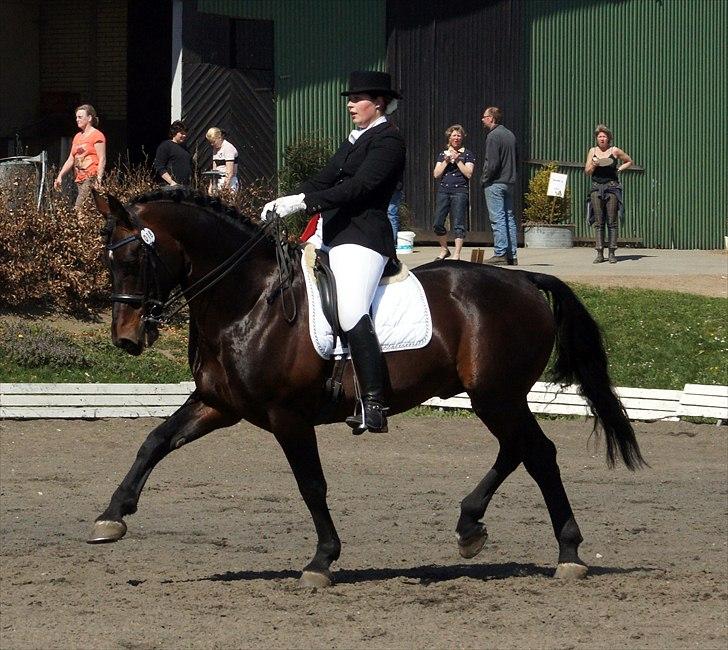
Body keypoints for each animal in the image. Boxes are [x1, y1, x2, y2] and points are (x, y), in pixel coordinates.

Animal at [89, 189, 644, 588]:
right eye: (107, 260)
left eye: (134, 259)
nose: (127, 339)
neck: (247, 301)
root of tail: (525, 279)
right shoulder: (217, 404)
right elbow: (155, 442)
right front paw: (111, 517)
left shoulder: (287, 416)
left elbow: (311, 484)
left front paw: (321, 561)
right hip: (495, 397)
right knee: (518, 450)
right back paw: (470, 528)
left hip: (497, 395)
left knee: (539, 454)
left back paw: (568, 552)